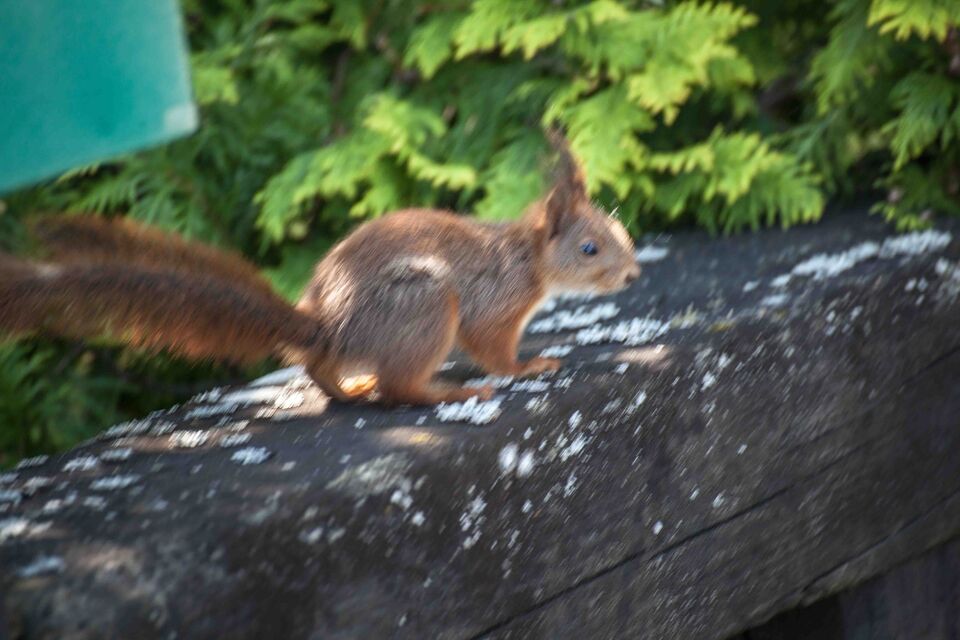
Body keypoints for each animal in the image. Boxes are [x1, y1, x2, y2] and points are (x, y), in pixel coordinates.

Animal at [0, 136, 640, 406]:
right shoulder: (494, 304)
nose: (632, 276)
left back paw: (346, 385)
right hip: (426, 302)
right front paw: (529, 365)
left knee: (321, 370)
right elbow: (493, 348)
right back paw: (440, 393)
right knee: (398, 389)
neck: (526, 259)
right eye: (590, 249)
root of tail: (330, 324)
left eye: (625, 235)